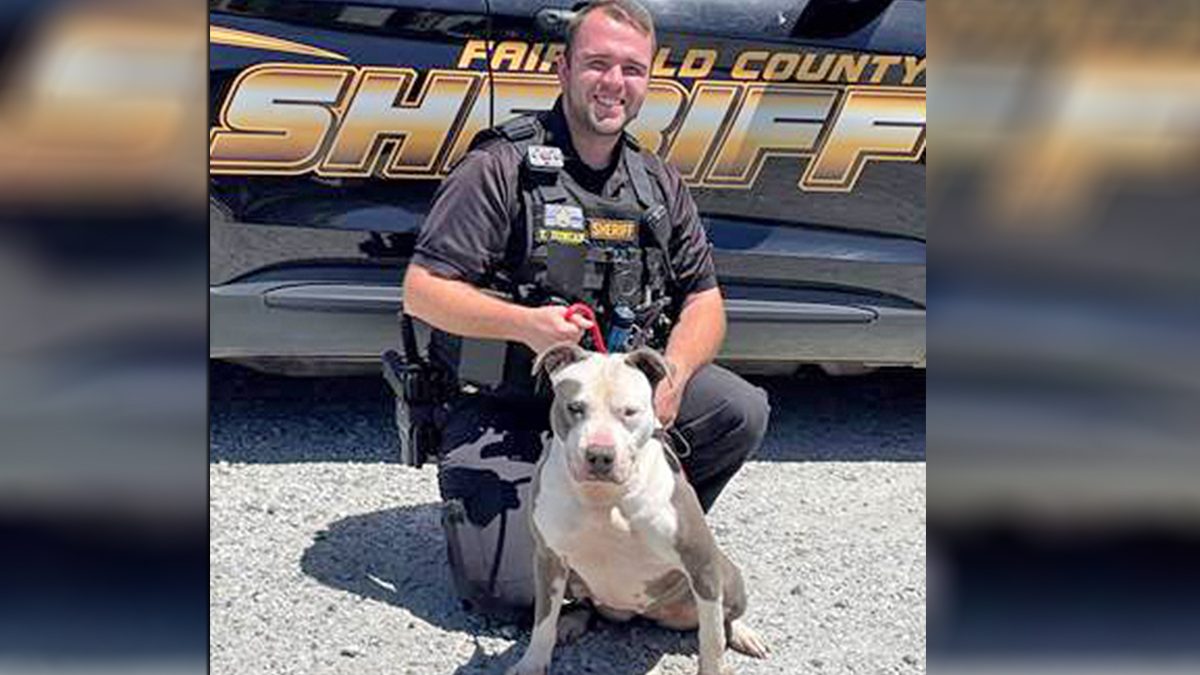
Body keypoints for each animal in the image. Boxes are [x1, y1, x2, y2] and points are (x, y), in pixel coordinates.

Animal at [506, 344, 768, 675]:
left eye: (630, 412)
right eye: (575, 407)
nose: (600, 455)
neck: (604, 496)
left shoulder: (701, 562)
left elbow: (711, 639)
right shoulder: (548, 557)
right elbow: (543, 621)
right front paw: (532, 662)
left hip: (727, 577)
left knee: (725, 618)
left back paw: (744, 634)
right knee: (586, 606)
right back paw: (570, 622)